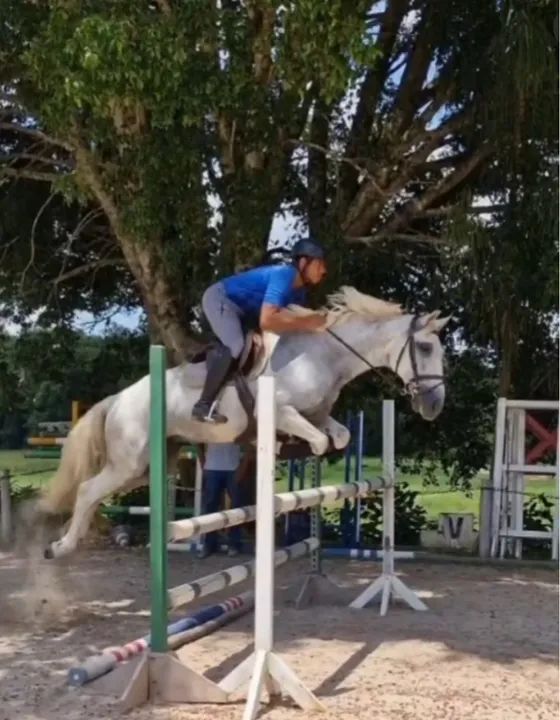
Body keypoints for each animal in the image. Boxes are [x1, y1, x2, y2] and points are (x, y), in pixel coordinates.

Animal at [37, 286, 450, 559]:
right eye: (425, 347)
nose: (434, 405)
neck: (323, 355)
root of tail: (118, 400)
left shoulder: (318, 416)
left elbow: (340, 436)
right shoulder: (282, 412)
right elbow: (316, 442)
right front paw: (285, 454)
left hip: (147, 466)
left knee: (96, 492)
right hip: (129, 461)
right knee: (87, 490)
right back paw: (61, 547)